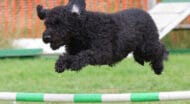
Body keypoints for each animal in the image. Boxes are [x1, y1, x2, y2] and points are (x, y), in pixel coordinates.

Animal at [36, 0, 168, 75]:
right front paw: (61, 64)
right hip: (140, 50)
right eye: (47, 24)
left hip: (147, 47)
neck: (84, 29)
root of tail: (147, 14)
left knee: (160, 48)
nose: (46, 37)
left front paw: (75, 63)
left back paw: (159, 67)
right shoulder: (73, 51)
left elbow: (86, 54)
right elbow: (67, 56)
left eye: (59, 23)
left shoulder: (103, 52)